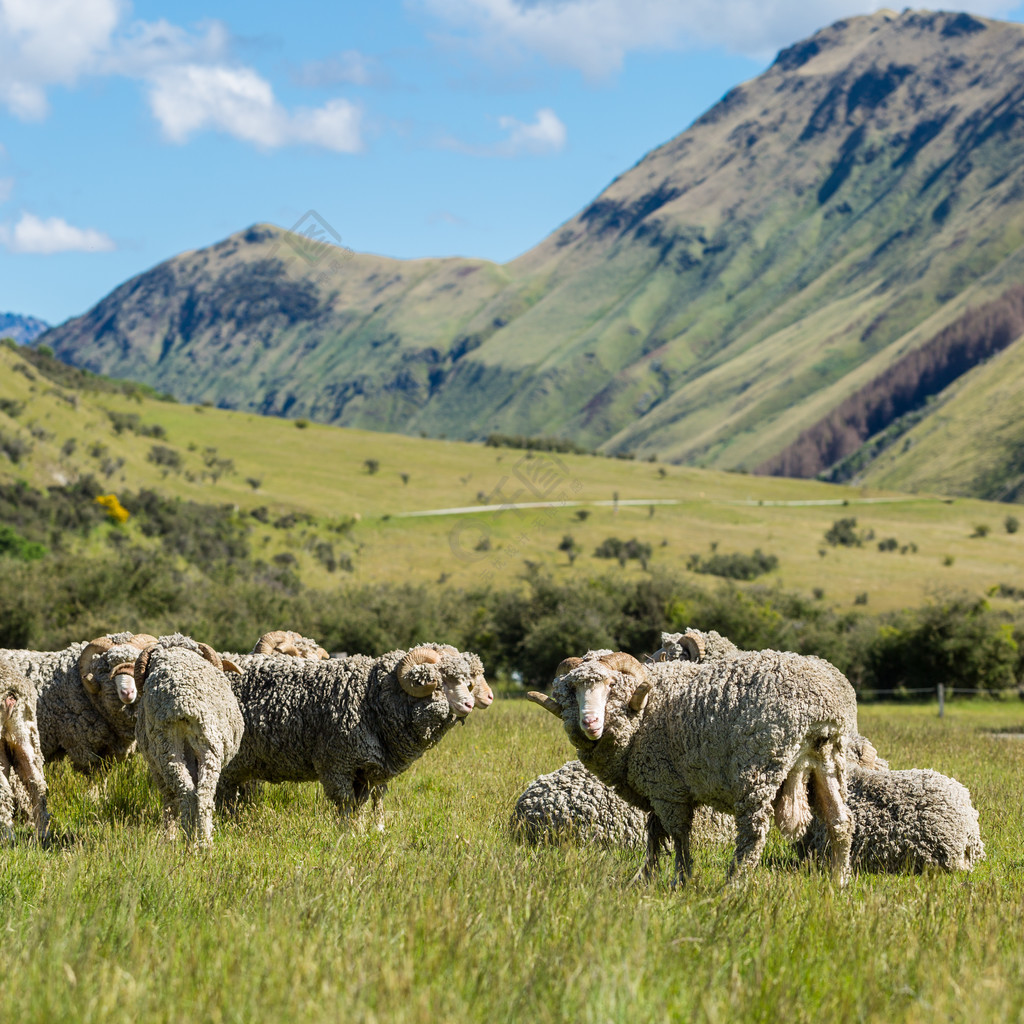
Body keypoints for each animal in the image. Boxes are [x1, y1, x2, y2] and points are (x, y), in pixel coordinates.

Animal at [133, 638, 244, 847]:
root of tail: (181, 698)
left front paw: (169, 836)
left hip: (168, 747)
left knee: (188, 793)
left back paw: (194, 840)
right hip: (206, 745)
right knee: (201, 794)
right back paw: (201, 841)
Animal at [212, 638, 483, 831]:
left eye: (466, 680)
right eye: (441, 681)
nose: (469, 704)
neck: (371, 696)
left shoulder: (363, 769)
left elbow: (359, 806)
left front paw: (360, 832)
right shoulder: (337, 764)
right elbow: (345, 804)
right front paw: (346, 835)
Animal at [532, 647, 860, 888]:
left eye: (612, 686)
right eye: (572, 689)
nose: (590, 723)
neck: (646, 707)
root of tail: (824, 705)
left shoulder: (667, 787)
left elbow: (678, 834)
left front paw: (682, 878)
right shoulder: (659, 785)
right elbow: (655, 834)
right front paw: (646, 877)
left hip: (759, 765)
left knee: (753, 832)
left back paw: (732, 884)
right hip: (828, 759)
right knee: (840, 821)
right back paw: (839, 881)